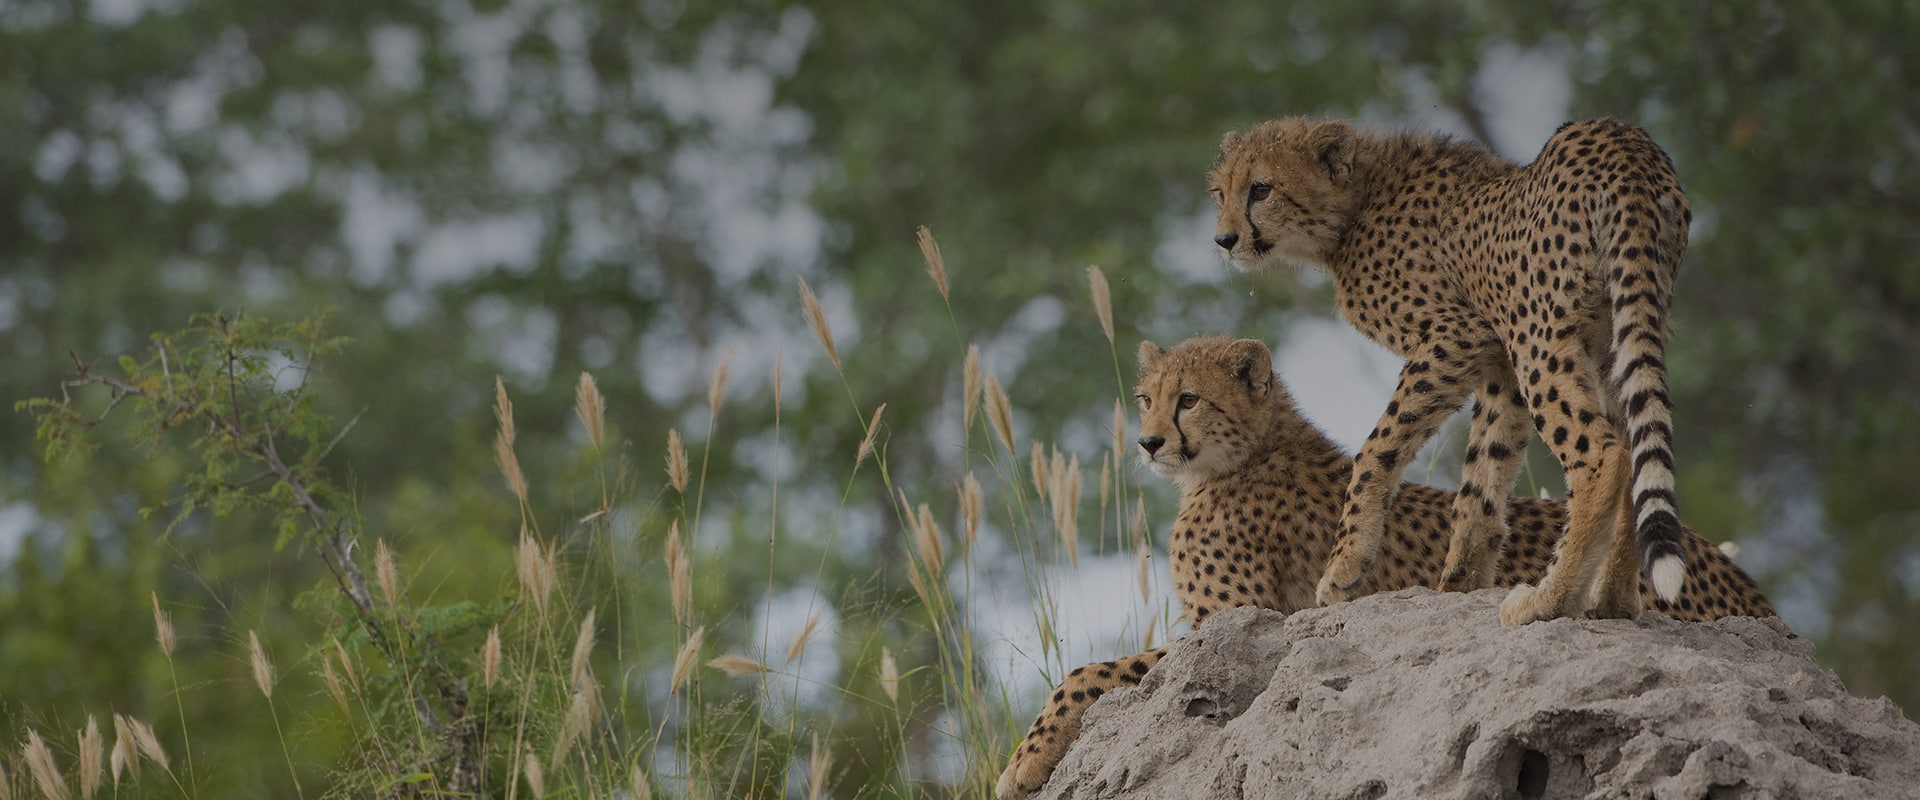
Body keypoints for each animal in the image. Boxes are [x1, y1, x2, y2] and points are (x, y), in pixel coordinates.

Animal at [994, 336, 1774, 800]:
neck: (1248, 452)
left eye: (1188, 399)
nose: (1149, 442)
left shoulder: (1245, 626)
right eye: (1146, 398)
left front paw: (1022, 762)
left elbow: (1086, 670)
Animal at [1206, 116, 1694, 627]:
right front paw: (1459, 583)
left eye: (1261, 189)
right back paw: (1612, 600)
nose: (1224, 240)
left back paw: (1548, 600)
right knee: (1634, 445)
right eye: (1220, 193)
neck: (1356, 203)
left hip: (1539, 338)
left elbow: (1377, 449)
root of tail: (1623, 139)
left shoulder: (1458, 335)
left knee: (1603, 454)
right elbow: (1484, 472)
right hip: (1614, 334)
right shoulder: (1498, 360)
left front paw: (1345, 565)